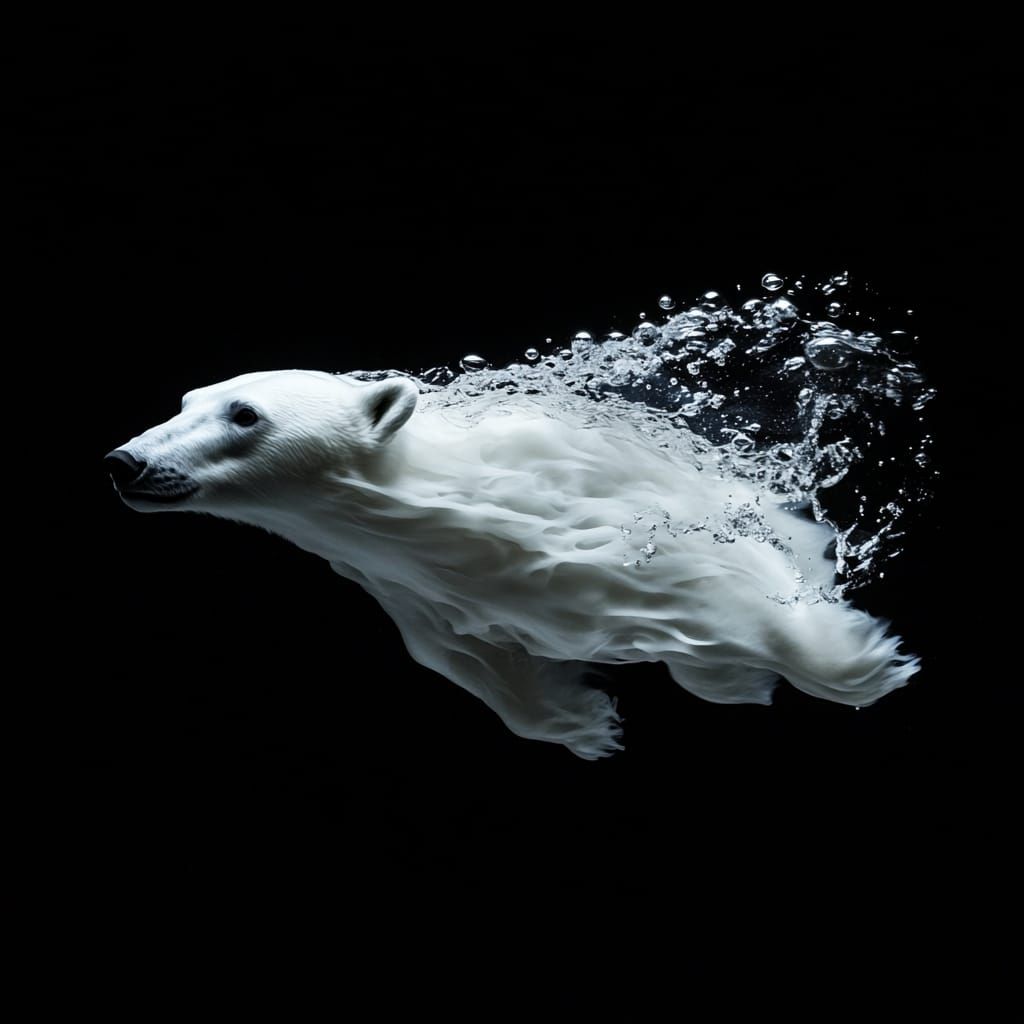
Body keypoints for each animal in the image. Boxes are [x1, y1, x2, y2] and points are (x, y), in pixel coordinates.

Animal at [106, 369, 919, 759]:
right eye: (185, 400)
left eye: (245, 414)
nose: (126, 461)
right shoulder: (412, 584)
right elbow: (466, 657)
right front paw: (583, 721)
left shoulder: (612, 511)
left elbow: (725, 578)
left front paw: (862, 666)